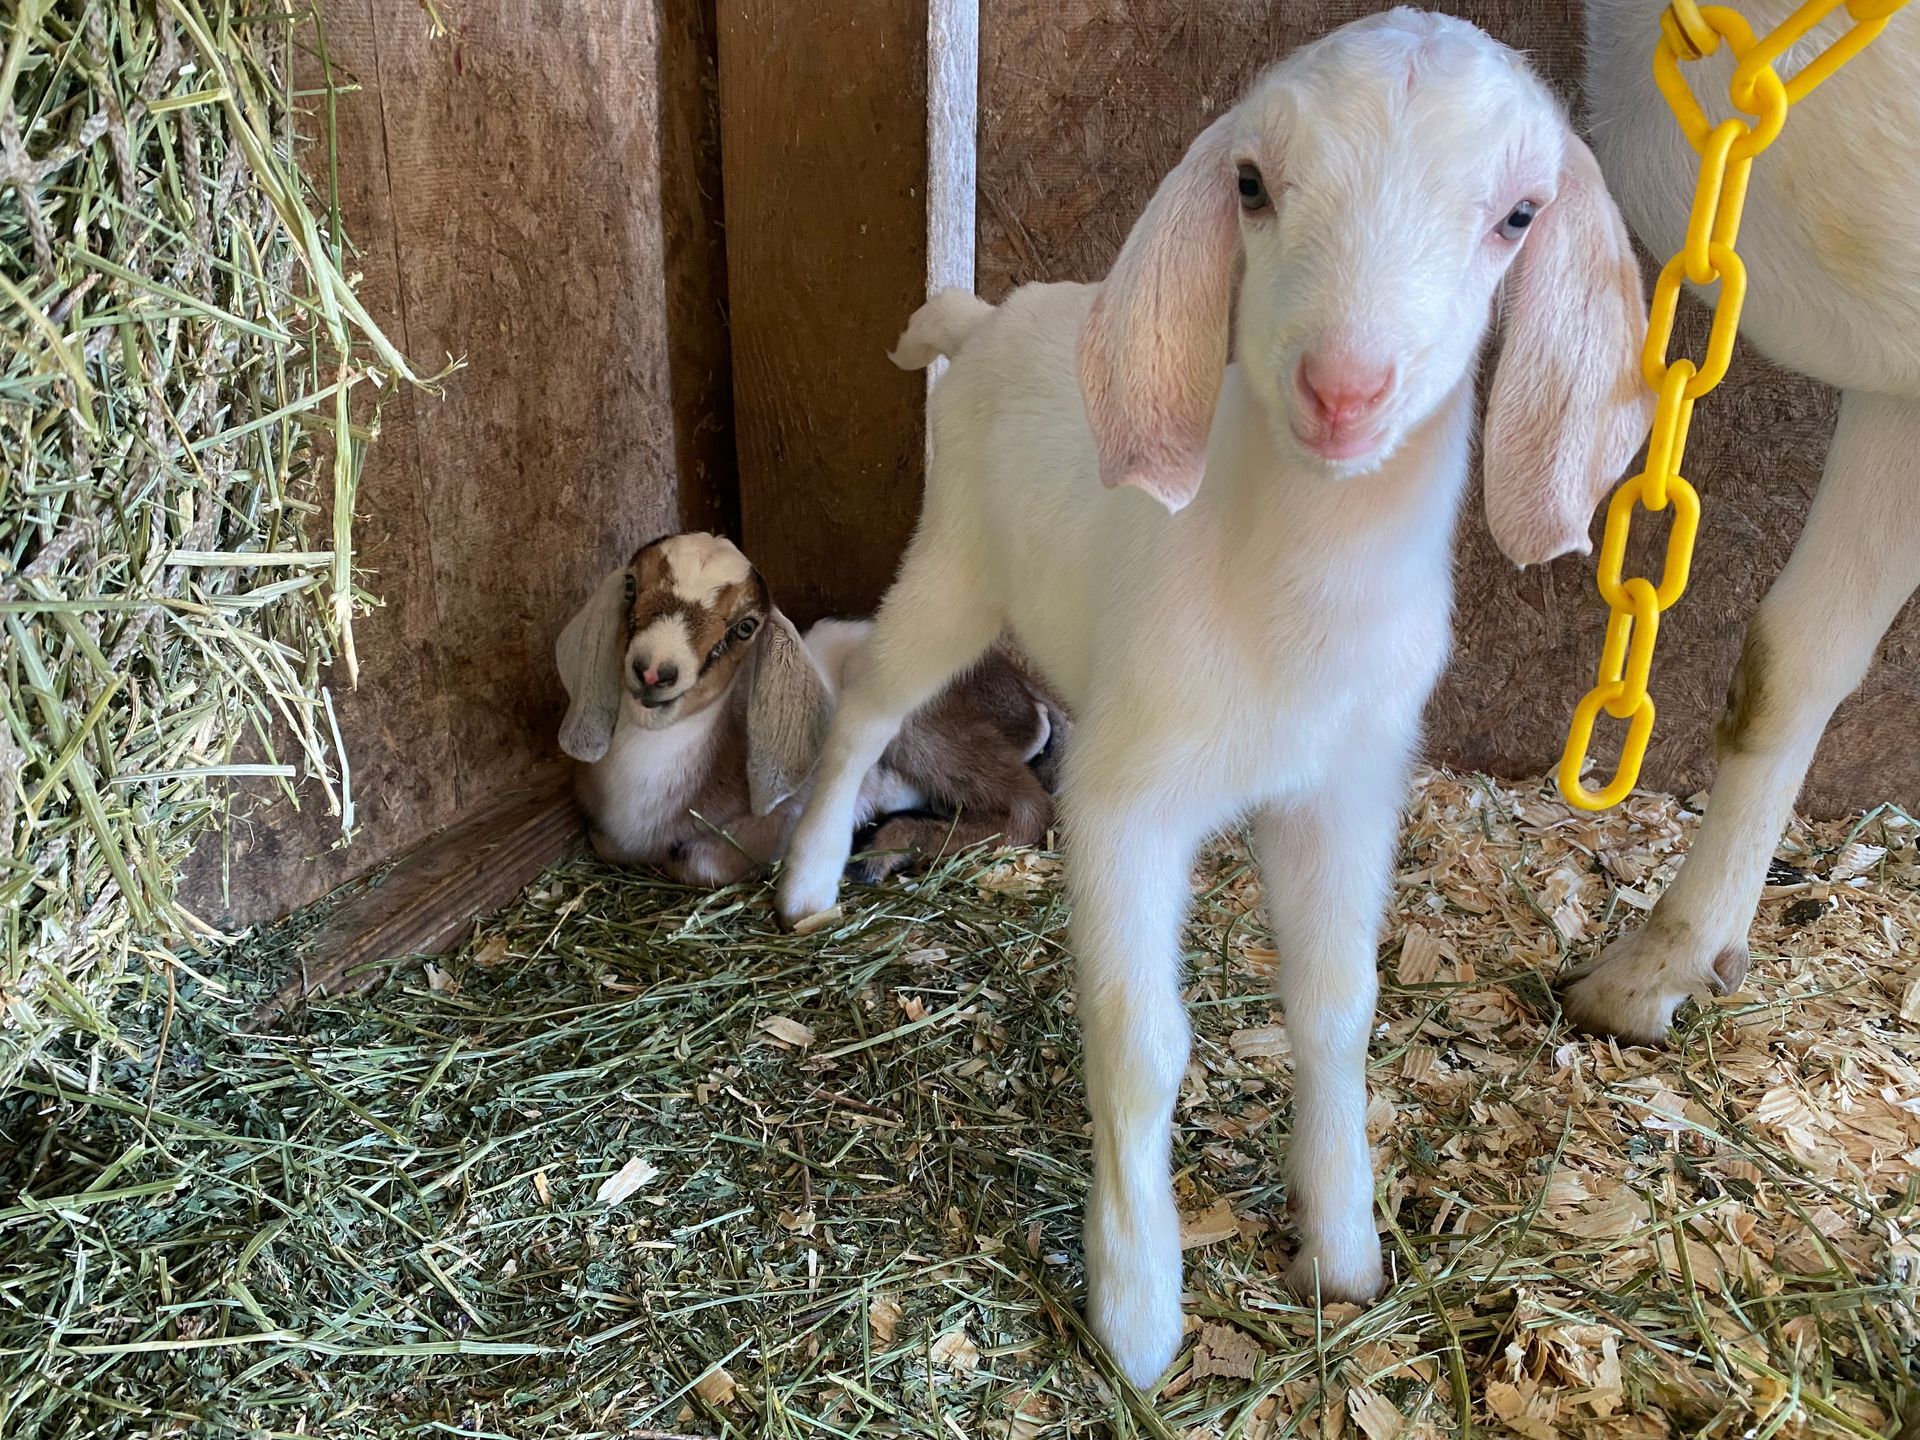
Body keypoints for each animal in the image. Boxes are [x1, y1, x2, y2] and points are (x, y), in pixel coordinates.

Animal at [555, 532, 1063, 888]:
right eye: (630, 584)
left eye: (745, 626)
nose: (654, 671)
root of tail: (1026, 700)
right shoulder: (604, 831)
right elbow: (604, 842)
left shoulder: (784, 817)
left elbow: (700, 861)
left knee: (1029, 806)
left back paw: (882, 851)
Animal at [773, 9, 1651, 1386]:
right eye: (1250, 185)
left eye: (1519, 214)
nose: (1343, 388)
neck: (1284, 588)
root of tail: (992, 314)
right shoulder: (1131, 802)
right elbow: (1142, 1043)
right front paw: (1138, 1313)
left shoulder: (1346, 792)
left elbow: (1338, 1012)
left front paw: (1342, 1250)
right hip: (955, 561)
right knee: (867, 698)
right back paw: (808, 879)